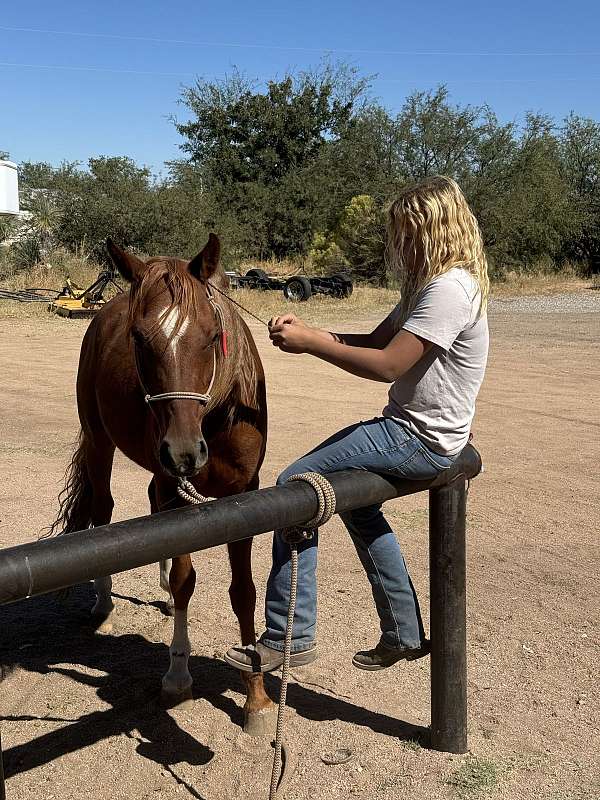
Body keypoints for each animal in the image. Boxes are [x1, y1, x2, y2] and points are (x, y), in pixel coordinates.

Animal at [49, 233, 274, 732]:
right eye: (138, 339)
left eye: (211, 336)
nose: (184, 452)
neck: (215, 421)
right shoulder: (179, 492)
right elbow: (187, 578)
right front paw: (177, 676)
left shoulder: (246, 497)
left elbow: (244, 592)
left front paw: (257, 695)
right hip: (102, 443)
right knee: (105, 511)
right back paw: (104, 605)